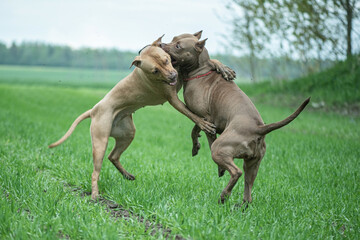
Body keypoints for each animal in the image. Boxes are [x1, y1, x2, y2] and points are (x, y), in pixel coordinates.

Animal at [47, 38, 217, 199]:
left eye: (166, 60)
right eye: (155, 71)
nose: (172, 76)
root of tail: (94, 110)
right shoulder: (173, 99)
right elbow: (191, 114)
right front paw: (203, 123)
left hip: (127, 132)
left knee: (113, 156)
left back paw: (127, 175)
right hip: (100, 140)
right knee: (96, 171)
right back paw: (95, 195)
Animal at [161, 32, 310, 206]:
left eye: (178, 45)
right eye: (173, 39)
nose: (162, 45)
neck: (200, 70)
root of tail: (258, 128)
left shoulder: (205, 117)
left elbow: (203, 131)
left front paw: (216, 165)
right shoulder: (208, 119)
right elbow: (195, 129)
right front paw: (196, 145)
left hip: (221, 149)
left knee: (235, 171)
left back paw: (224, 195)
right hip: (252, 164)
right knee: (248, 188)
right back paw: (241, 205)